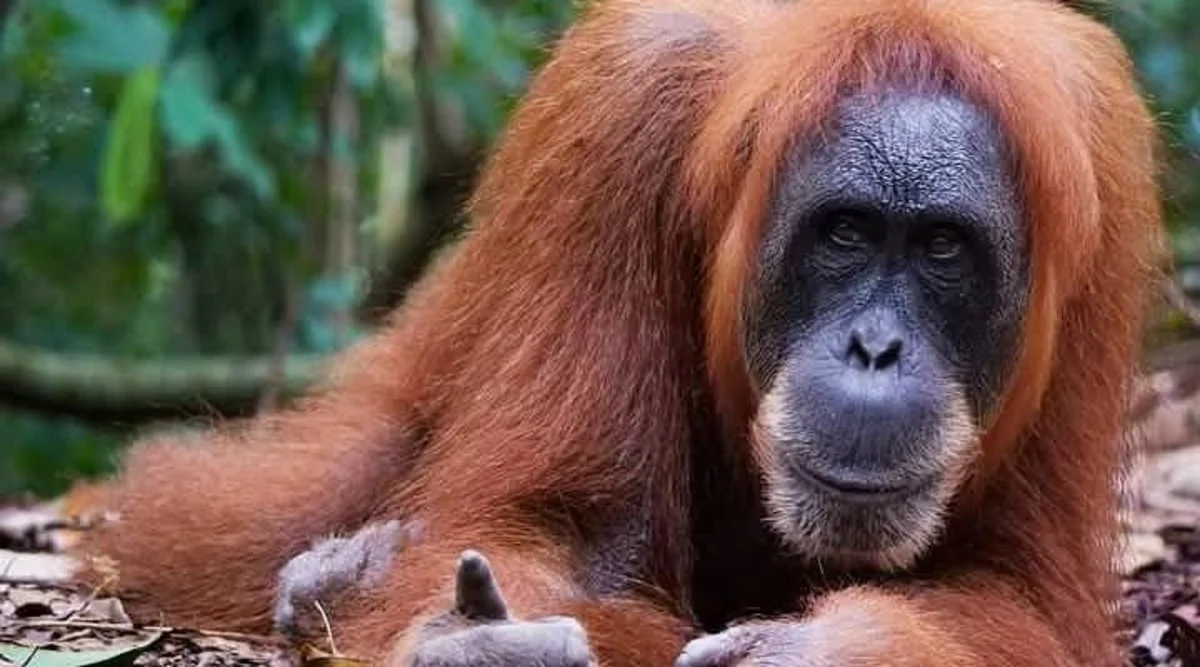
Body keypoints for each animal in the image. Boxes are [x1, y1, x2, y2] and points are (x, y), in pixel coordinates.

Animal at [72, 1, 1166, 665]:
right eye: (847, 233)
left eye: (941, 248)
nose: (875, 350)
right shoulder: (619, 114)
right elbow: (569, 533)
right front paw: (485, 644)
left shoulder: (1101, 179)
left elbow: (1017, 589)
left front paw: (818, 647)